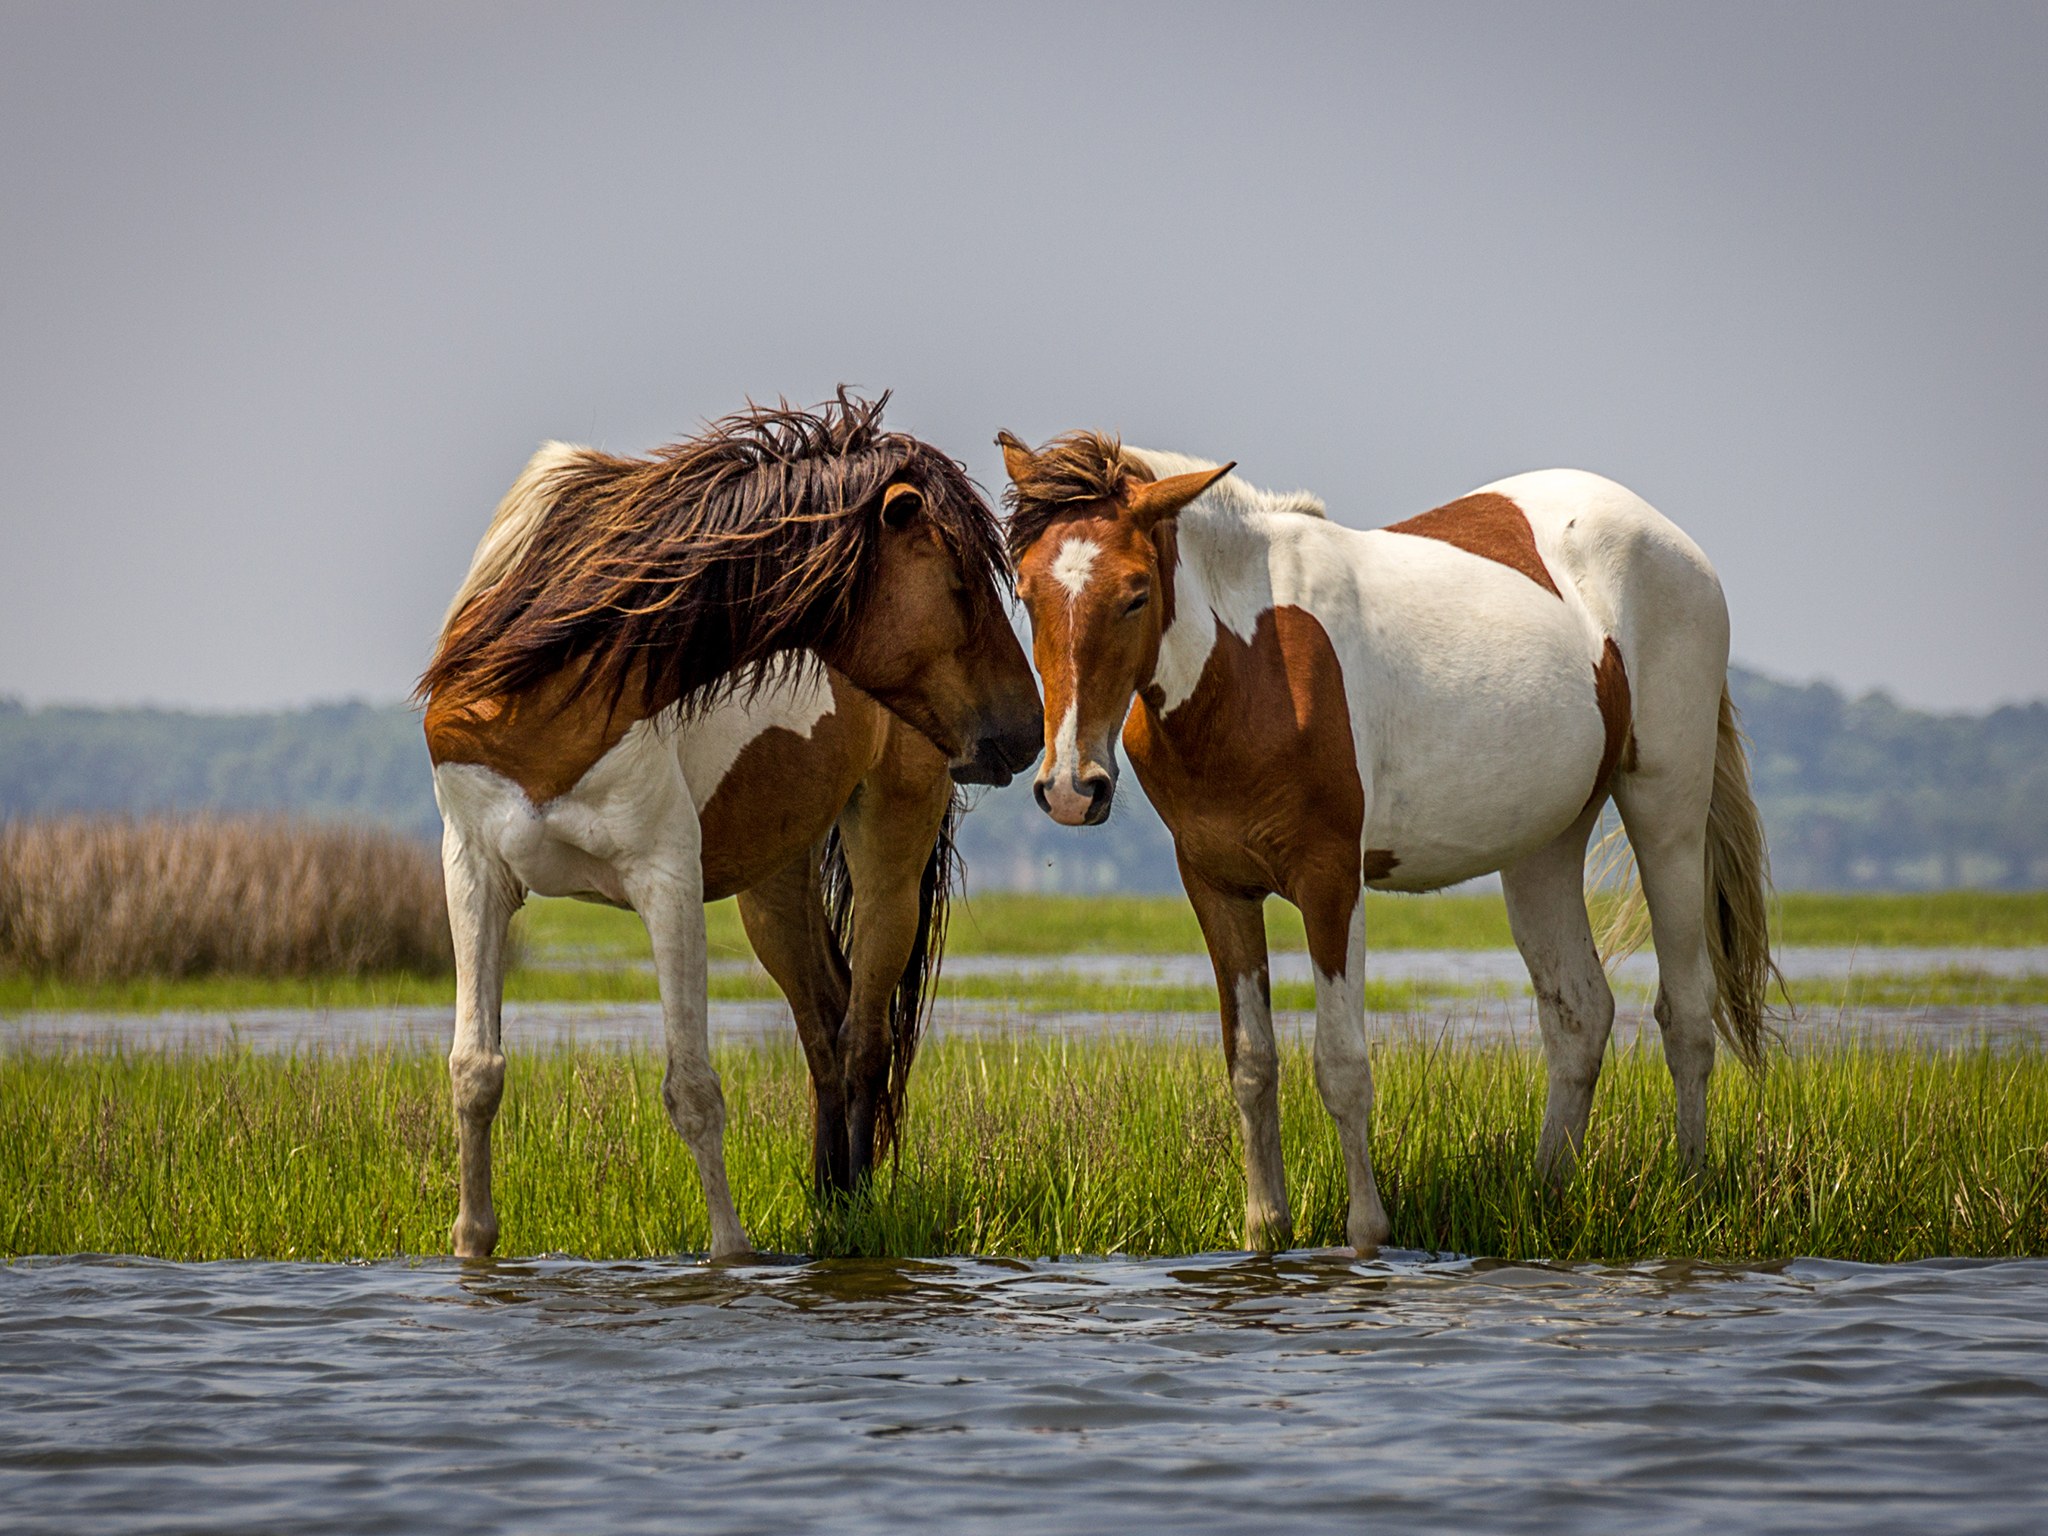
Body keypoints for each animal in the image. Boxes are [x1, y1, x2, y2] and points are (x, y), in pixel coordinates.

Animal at [425, 397, 1048, 1261]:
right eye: (959, 583)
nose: (1027, 730)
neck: (548, 679)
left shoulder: (667, 880)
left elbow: (691, 1086)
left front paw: (731, 1254)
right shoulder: (474, 871)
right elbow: (476, 1070)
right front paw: (472, 1246)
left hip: (890, 847)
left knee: (863, 1039)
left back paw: (854, 1216)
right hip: (774, 883)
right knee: (826, 1029)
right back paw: (827, 1205)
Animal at [995, 428, 1777, 1253]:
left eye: (1136, 593)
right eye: (1027, 592)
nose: (1072, 787)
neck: (1249, 665)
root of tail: (1676, 546)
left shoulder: (1331, 881)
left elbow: (1341, 1066)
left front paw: (1366, 1233)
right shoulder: (1217, 885)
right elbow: (1252, 1065)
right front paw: (1265, 1230)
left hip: (1667, 809)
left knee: (1686, 1013)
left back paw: (1691, 1194)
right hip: (1546, 842)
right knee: (1578, 1013)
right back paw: (1548, 1195)